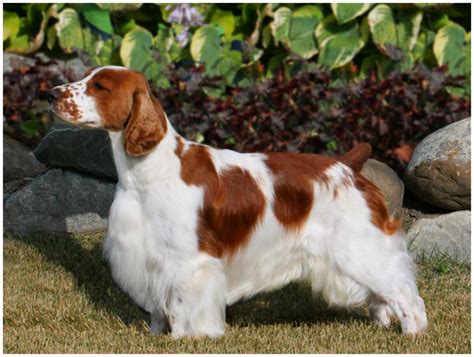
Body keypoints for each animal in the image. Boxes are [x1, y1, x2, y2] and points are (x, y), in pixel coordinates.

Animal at [48, 66, 426, 336]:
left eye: (100, 86)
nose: (51, 94)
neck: (145, 171)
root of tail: (348, 166)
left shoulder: (189, 260)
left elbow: (184, 305)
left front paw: (185, 339)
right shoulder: (148, 254)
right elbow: (159, 307)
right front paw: (157, 336)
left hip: (361, 248)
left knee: (406, 295)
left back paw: (412, 334)